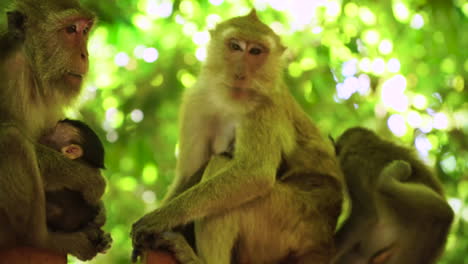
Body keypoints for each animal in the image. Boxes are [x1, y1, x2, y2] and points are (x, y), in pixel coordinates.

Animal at [0, 0, 110, 260]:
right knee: (11, 139)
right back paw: (43, 240)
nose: (85, 54)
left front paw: (99, 213)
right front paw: (89, 179)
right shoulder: (9, 73)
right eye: (70, 30)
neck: (32, 70)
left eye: (85, 30)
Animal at [131, 9, 344, 262]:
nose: (240, 73)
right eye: (235, 46)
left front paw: (163, 217)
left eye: (256, 52)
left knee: (222, 165)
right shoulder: (196, 102)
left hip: (289, 220)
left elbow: (255, 173)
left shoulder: (264, 107)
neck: (229, 102)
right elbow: (185, 175)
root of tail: (324, 240)